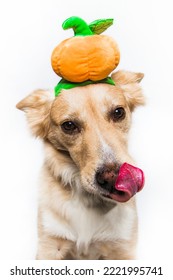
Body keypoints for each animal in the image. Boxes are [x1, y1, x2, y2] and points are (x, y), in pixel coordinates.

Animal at [16, 70, 145, 260]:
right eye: (69, 125)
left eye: (118, 112)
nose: (112, 178)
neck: (88, 201)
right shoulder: (49, 245)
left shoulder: (123, 246)